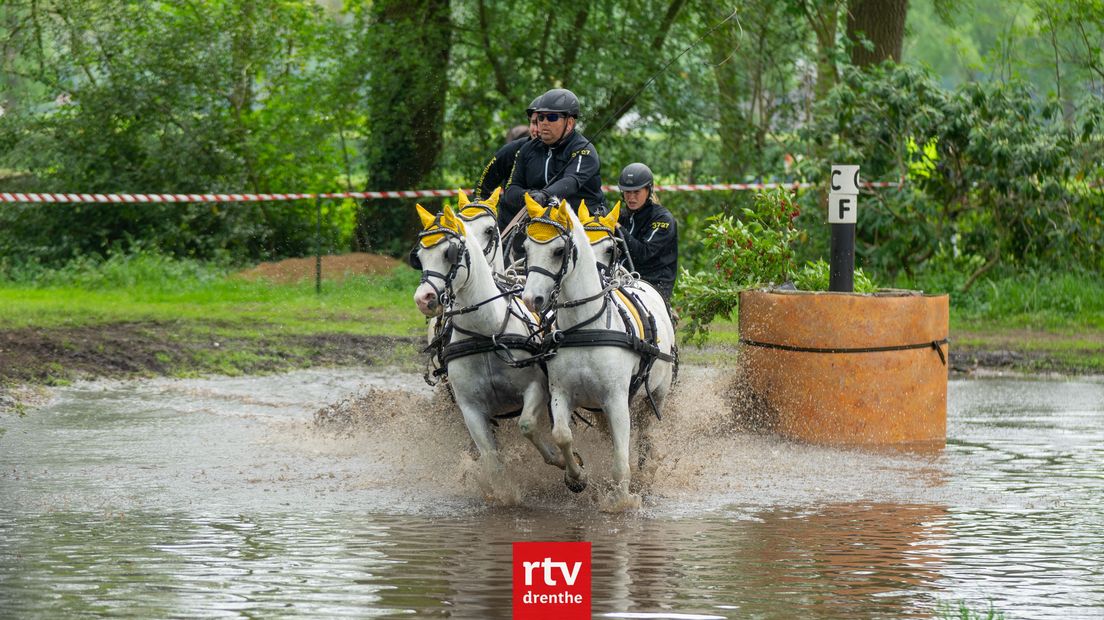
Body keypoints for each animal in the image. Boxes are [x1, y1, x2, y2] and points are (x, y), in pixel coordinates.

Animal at [410, 202, 565, 492]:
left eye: (448, 252)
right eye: (420, 256)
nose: (424, 299)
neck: (485, 332)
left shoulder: (536, 388)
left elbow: (527, 425)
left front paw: (565, 462)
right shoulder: (469, 408)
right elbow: (491, 457)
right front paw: (504, 492)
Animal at [521, 195, 675, 505]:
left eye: (558, 250)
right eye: (526, 248)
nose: (532, 299)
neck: (585, 328)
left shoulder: (616, 399)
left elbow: (621, 460)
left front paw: (621, 500)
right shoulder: (561, 392)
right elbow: (562, 435)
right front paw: (576, 477)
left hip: (657, 394)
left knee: (646, 433)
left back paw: (645, 471)